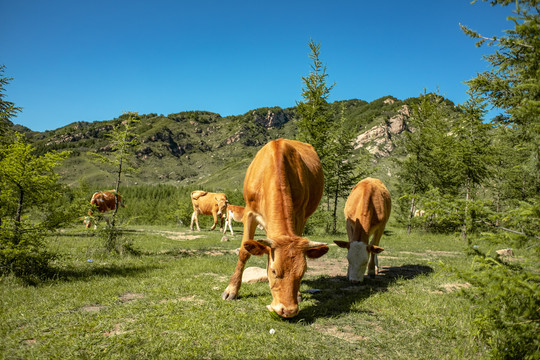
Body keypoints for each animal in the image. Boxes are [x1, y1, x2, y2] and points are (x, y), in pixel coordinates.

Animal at [220, 138, 330, 318]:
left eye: (302, 273)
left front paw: (298, 293)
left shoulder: (299, 215)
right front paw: (232, 290)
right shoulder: (249, 213)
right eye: (273, 271)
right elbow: (244, 252)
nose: (288, 311)